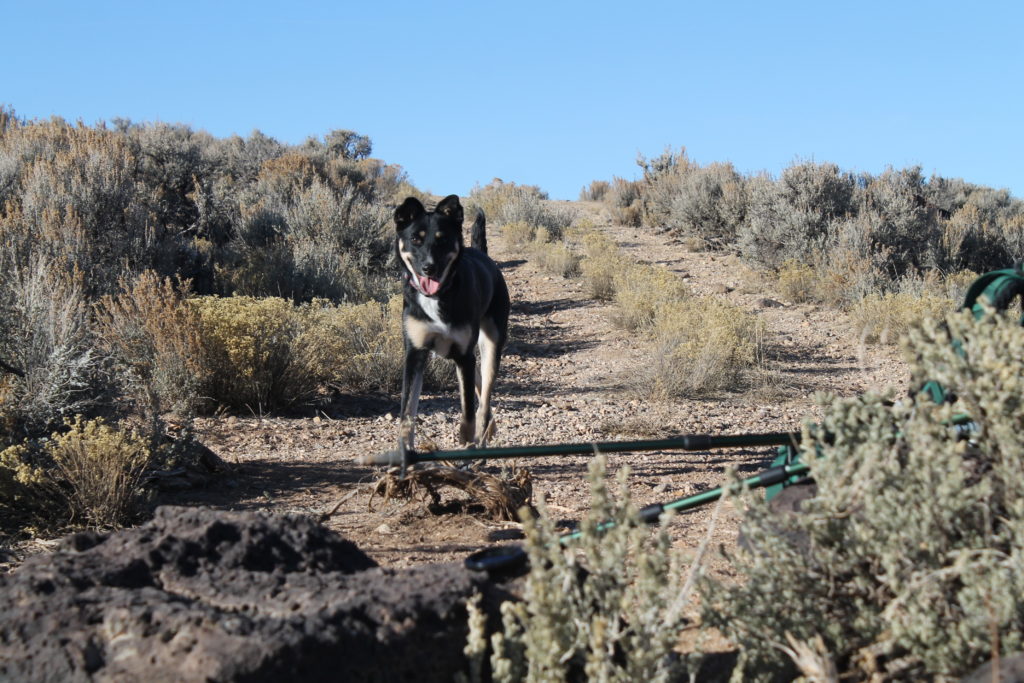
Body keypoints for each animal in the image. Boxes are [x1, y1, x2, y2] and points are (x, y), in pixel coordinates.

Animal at [393, 194, 509, 450]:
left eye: (443, 240)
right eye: (415, 239)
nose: (429, 268)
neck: (438, 296)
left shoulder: (464, 354)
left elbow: (467, 415)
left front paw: (466, 446)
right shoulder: (415, 353)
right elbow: (407, 412)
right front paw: (405, 452)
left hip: (490, 343)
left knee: (484, 399)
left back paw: (483, 438)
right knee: (479, 385)